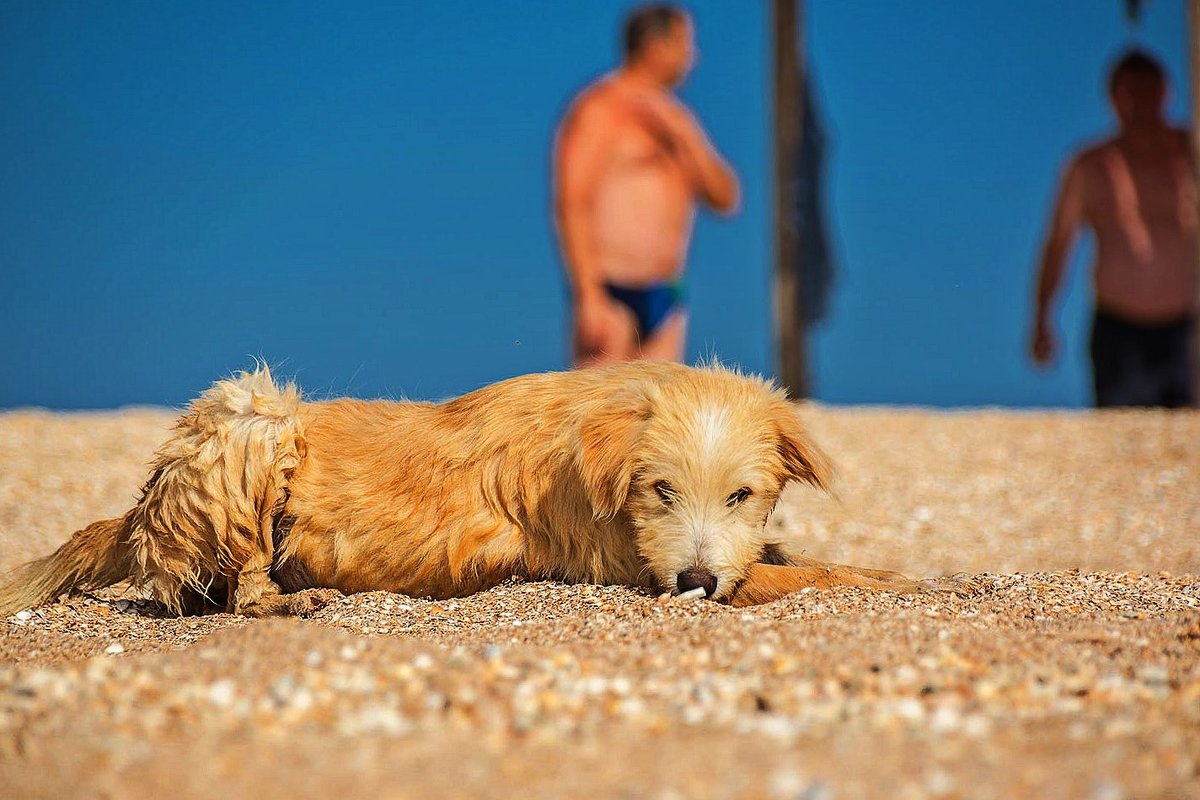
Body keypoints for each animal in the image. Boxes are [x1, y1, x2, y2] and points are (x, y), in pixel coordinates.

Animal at [0, 359, 960, 618]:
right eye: (658, 490)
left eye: (743, 495)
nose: (693, 581)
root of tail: (139, 509)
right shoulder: (629, 559)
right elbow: (818, 574)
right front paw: (924, 582)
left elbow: (792, 555)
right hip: (252, 410)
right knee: (231, 586)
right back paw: (283, 599)